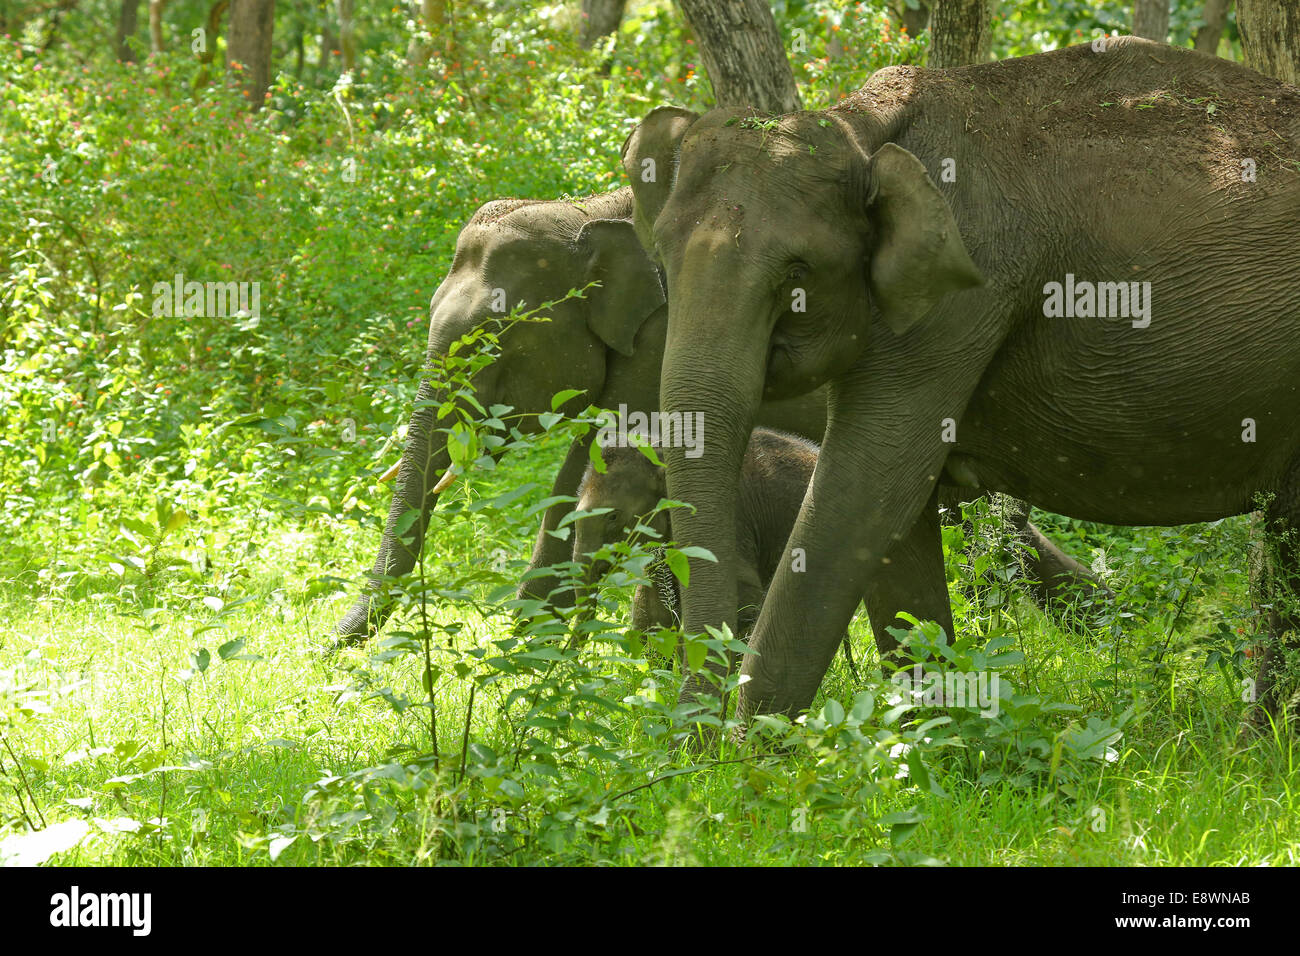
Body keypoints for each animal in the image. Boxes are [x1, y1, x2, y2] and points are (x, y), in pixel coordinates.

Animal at [334, 182, 1102, 646]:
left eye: (493, 344)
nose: (334, 647)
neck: (587, 210)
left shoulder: (662, 350)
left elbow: (584, 468)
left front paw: (530, 650)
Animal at [625, 37, 1300, 723]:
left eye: (798, 274)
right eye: (662, 256)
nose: (691, 732)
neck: (862, 125)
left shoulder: (965, 297)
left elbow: (862, 497)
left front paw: (756, 750)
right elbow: (896, 530)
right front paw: (929, 733)